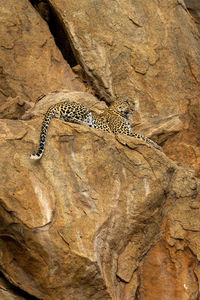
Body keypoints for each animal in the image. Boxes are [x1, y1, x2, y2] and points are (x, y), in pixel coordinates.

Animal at [30, 98, 162, 159]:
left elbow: (143, 136)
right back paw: (86, 125)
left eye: (133, 103)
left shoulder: (127, 131)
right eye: (126, 102)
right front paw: (157, 146)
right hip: (83, 108)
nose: (133, 108)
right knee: (70, 118)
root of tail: (55, 104)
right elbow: (144, 137)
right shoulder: (122, 132)